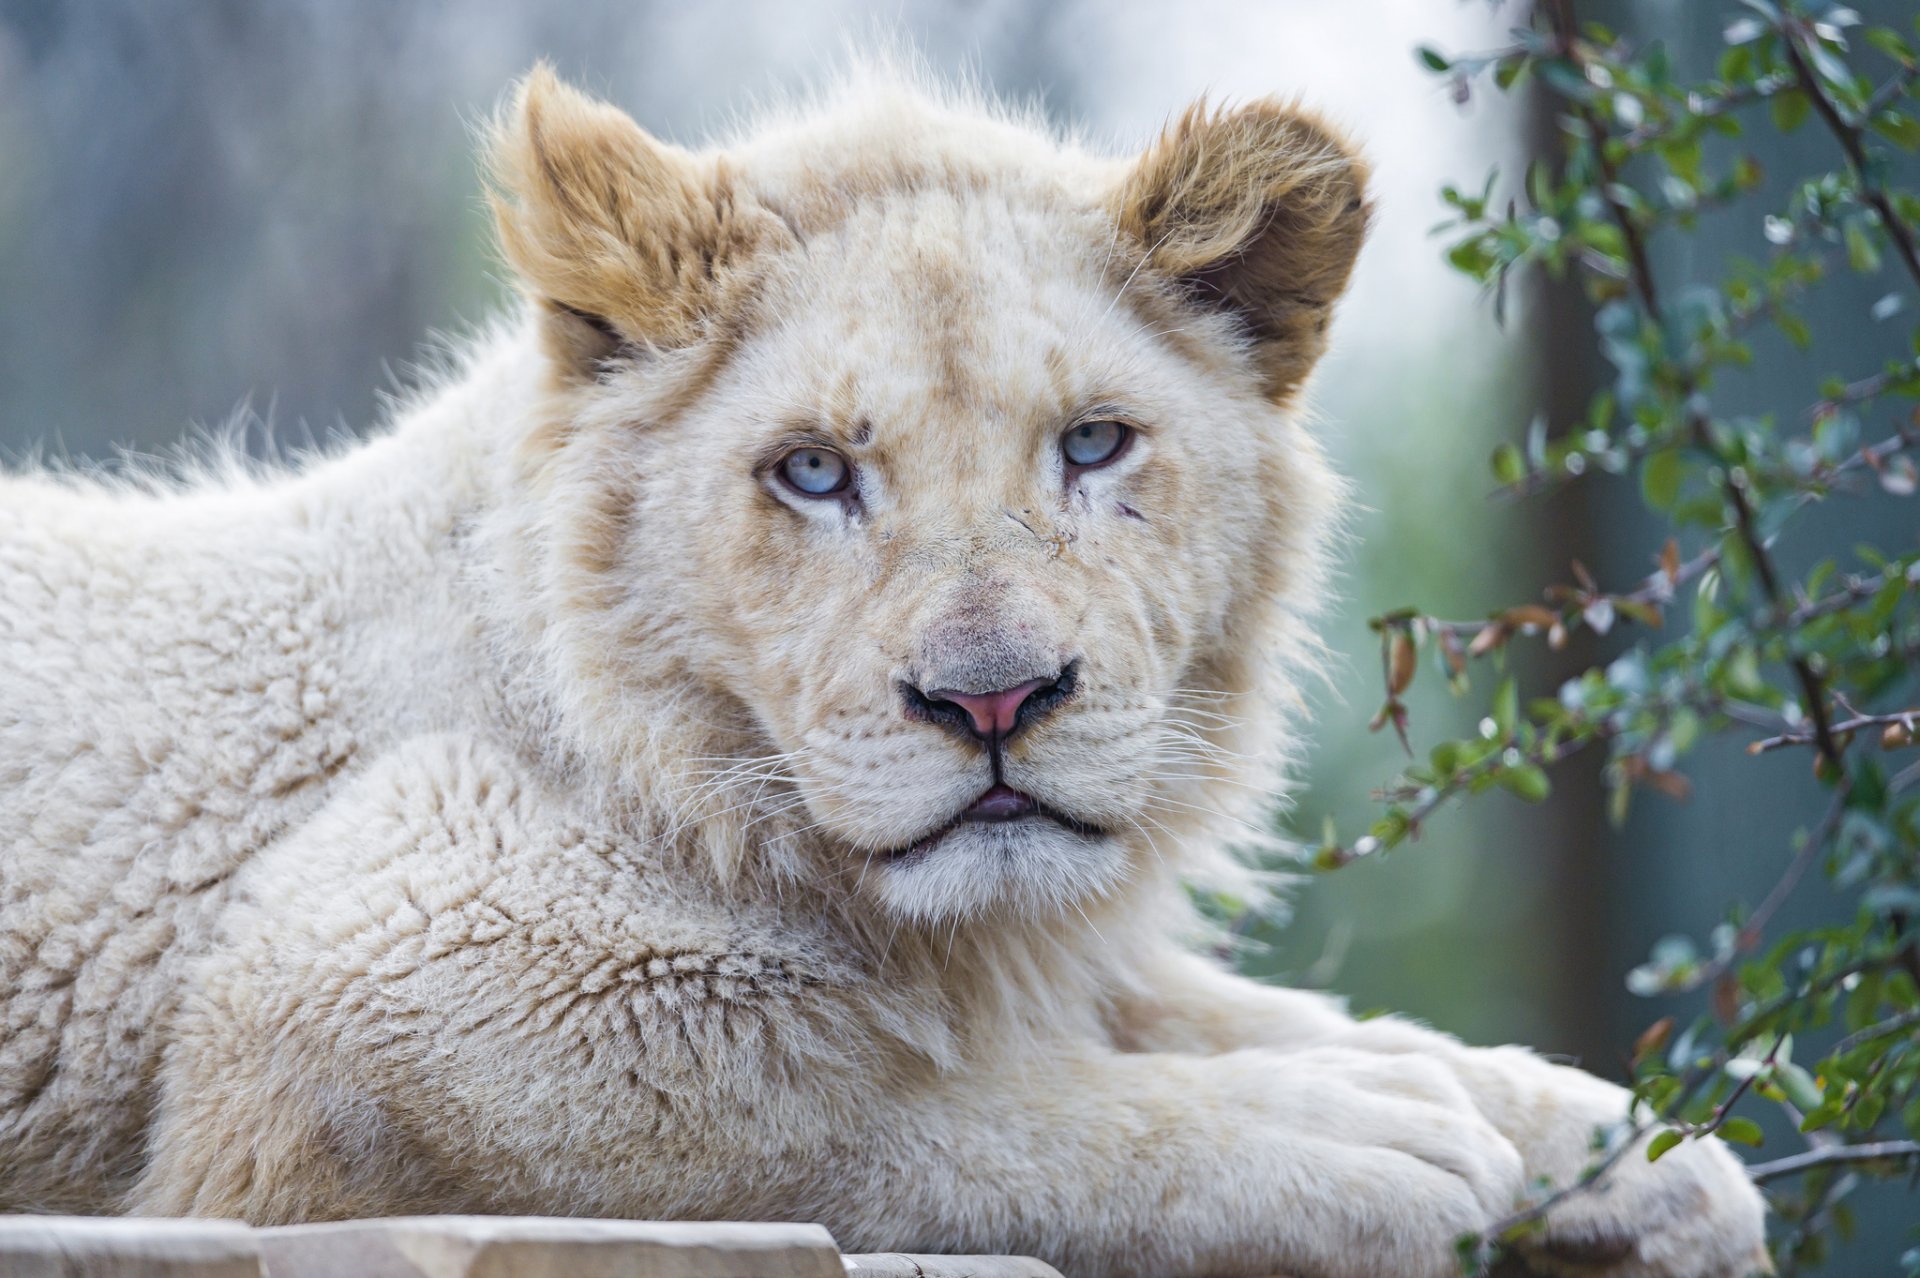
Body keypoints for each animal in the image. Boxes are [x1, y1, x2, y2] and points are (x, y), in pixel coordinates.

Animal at [0, 65, 1767, 1278]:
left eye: (1095, 444)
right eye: (813, 472)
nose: (993, 702)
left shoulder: (1035, 946)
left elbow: (1227, 1008)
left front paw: (1616, 1146)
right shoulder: (350, 982)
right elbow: (880, 1103)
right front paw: (1367, 1143)